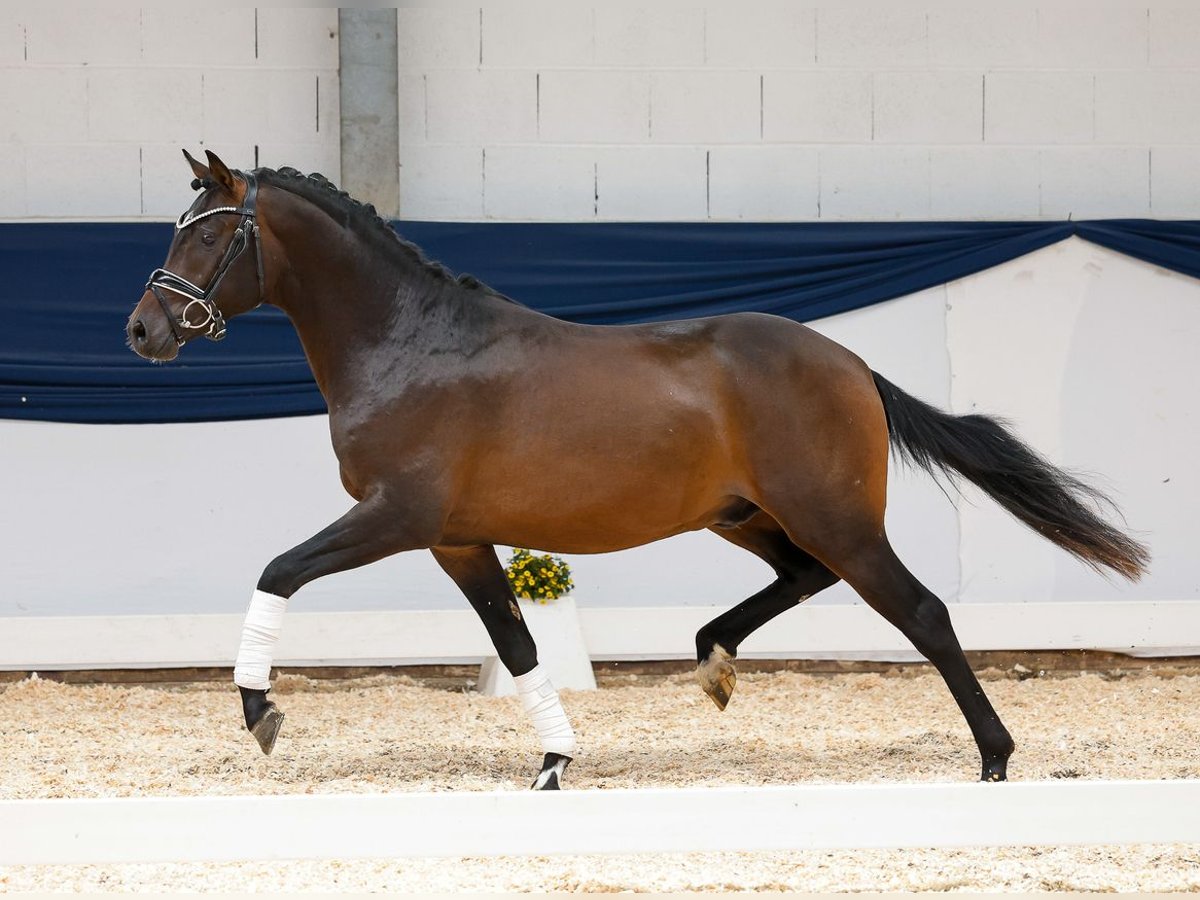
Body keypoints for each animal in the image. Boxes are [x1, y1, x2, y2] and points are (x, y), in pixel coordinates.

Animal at [126, 151, 1147, 792]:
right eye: (179, 229)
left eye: (209, 237)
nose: (144, 330)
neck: (409, 345)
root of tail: (849, 363)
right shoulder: (457, 539)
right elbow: (518, 648)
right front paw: (554, 764)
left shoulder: (398, 518)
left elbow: (277, 572)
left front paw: (258, 710)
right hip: (749, 516)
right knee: (801, 579)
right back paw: (714, 660)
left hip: (835, 518)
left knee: (923, 612)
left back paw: (994, 758)